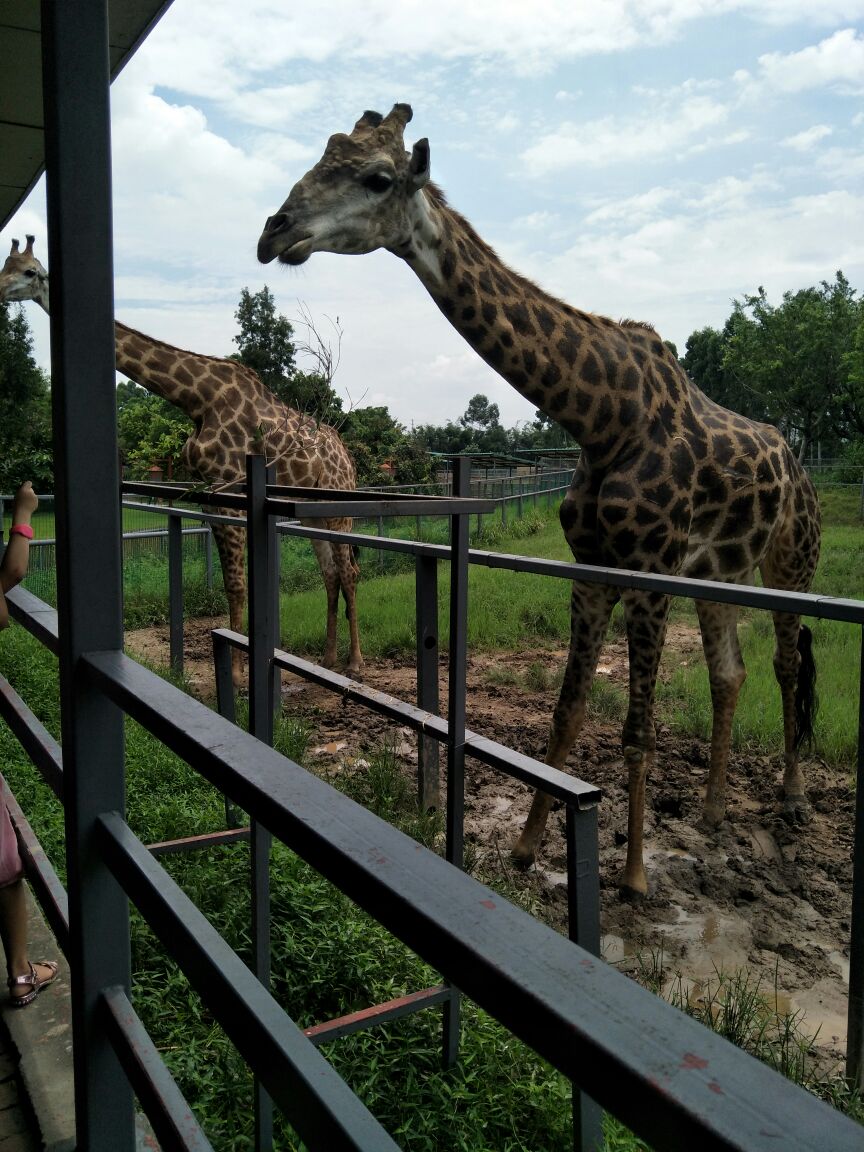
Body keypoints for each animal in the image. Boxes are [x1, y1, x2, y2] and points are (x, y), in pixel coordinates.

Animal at [0, 237, 366, 677]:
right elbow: (230, 582)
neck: (197, 399)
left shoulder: (230, 490)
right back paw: (328, 660)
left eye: (29, 272)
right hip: (313, 512)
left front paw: (238, 675)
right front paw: (237, 669)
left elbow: (238, 583)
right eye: (5, 265)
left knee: (349, 571)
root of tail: (349, 461)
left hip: (338, 509)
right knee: (330, 573)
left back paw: (355, 663)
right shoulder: (210, 494)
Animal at [253, 105, 820, 898]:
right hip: (720, 574)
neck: (601, 418)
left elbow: (636, 732)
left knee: (787, 663)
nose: (273, 232)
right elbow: (566, 713)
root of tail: (799, 463)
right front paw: (525, 848)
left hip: (790, 562)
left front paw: (634, 879)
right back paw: (710, 812)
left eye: (378, 177)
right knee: (729, 673)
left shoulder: (647, 575)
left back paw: (792, 799)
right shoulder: (592, 571)